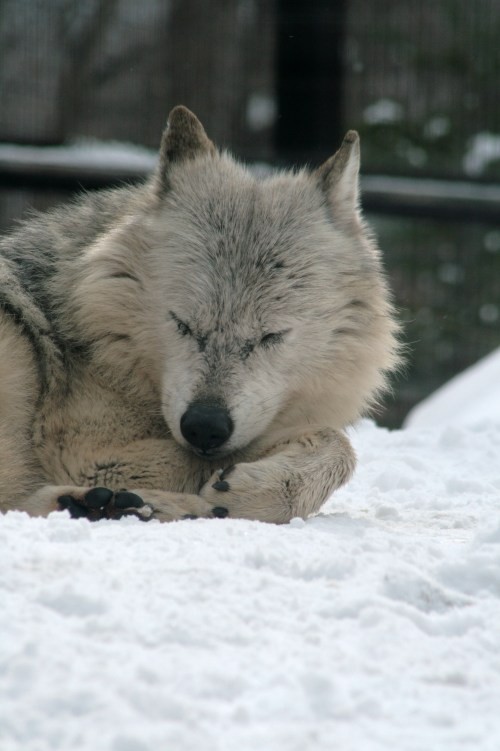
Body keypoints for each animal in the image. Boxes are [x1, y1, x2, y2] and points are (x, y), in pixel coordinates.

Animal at [0, 107, 400, 524]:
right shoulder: (85, 451)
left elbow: (333, 445)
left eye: (270, 336)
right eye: (182, 324)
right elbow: (336, 445)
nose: (205, 427)